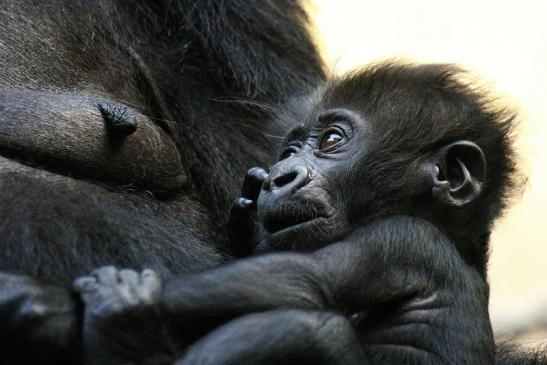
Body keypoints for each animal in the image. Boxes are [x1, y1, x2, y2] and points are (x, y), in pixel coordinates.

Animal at [74, 61, 520, 362]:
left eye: (332, 140)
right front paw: (246, 219)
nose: (279, 177)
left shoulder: (403, 239)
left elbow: (306, 282)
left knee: (312, 330)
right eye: (287, 152)